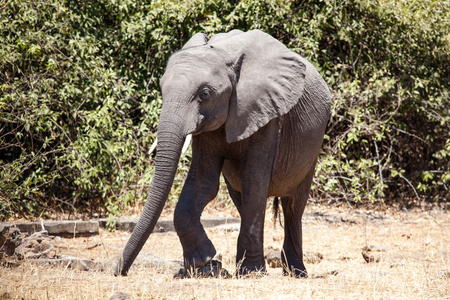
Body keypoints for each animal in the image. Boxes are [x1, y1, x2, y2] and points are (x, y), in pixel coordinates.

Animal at [115, 29, 334, 278]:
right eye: (162, 90)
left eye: (205, 93)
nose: (119, 272)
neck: (224, 54)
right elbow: (204, 182)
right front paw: (204, 262)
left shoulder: (267, 113)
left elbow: (254, 180)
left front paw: (250, 272)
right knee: (242, 200)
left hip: (313, 145)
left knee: (293, 206)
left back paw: (295, 272)